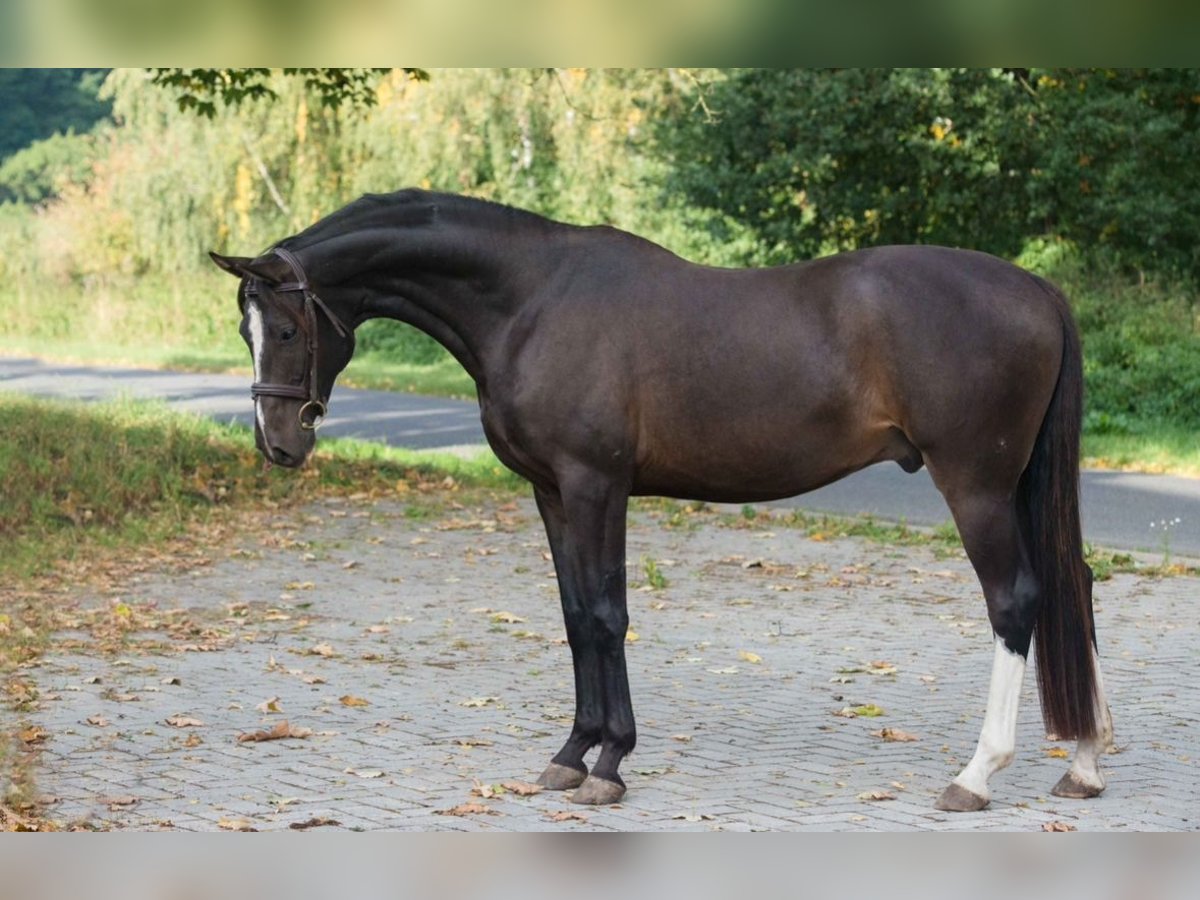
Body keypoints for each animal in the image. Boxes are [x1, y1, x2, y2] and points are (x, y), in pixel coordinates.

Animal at [211, 188, 1108, 811]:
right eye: (244, 331)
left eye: (285, 329)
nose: (279, 444)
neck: (532, 300)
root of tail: (1036, 289)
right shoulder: (551, 492)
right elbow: (576, 617)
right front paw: (570, 755)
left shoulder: (595, 485)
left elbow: (608, 615)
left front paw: (610, 764)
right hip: (1016, 488)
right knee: (1073, 588)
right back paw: (1084, 763)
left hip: (977, 485)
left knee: (1016, 603)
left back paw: (978, 775)